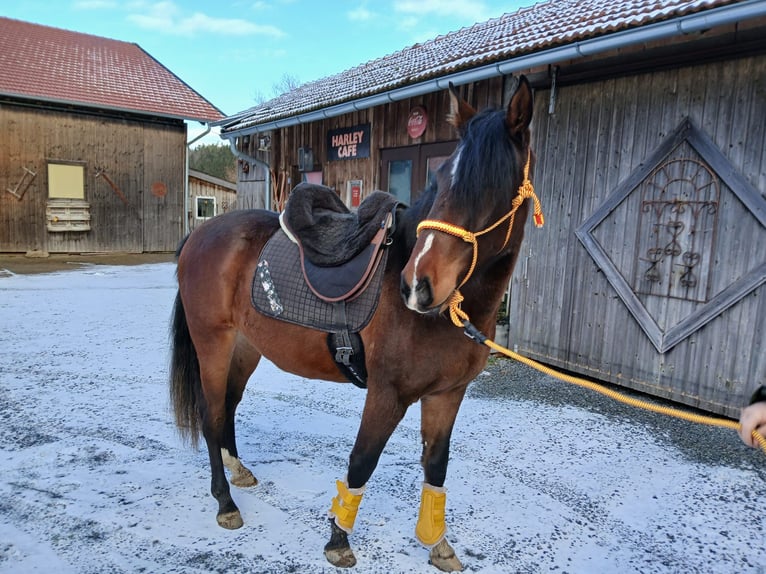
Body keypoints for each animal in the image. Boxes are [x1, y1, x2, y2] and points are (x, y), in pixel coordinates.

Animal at [169, 75, 540, 572]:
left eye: (495, 186)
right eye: (442, 179)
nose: (418, 285)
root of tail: (200, 235)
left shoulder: (447, 395)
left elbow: (436, 464)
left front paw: (437, 543)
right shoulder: (387, 393)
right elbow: (362, 461)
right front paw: (338, 540)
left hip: (245, 349)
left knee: (227, 407)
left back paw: (239, 472)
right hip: (213, 344)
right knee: (210, 416)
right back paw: (226, 503)